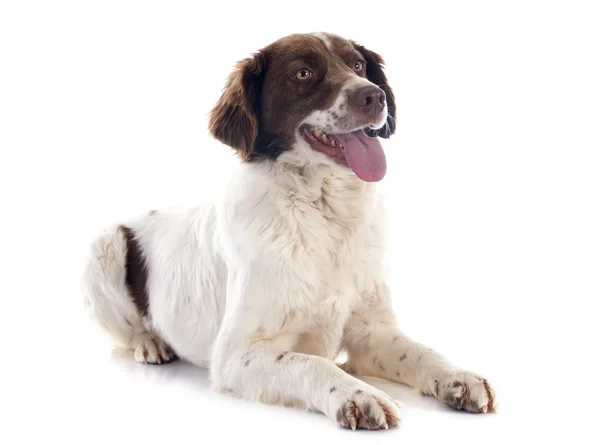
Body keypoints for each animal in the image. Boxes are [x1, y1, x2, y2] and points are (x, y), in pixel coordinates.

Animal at [83, 33, 496, 428]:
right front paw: (359, 395)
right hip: (104, 247)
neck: (326, 214)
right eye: (302, 73)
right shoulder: (236, 353)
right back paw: (151, 343)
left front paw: (458, 377)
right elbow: (311, 362)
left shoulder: (371, 331)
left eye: (358, 65)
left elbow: (421, 351)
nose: (374, 96)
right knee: (127, 329)